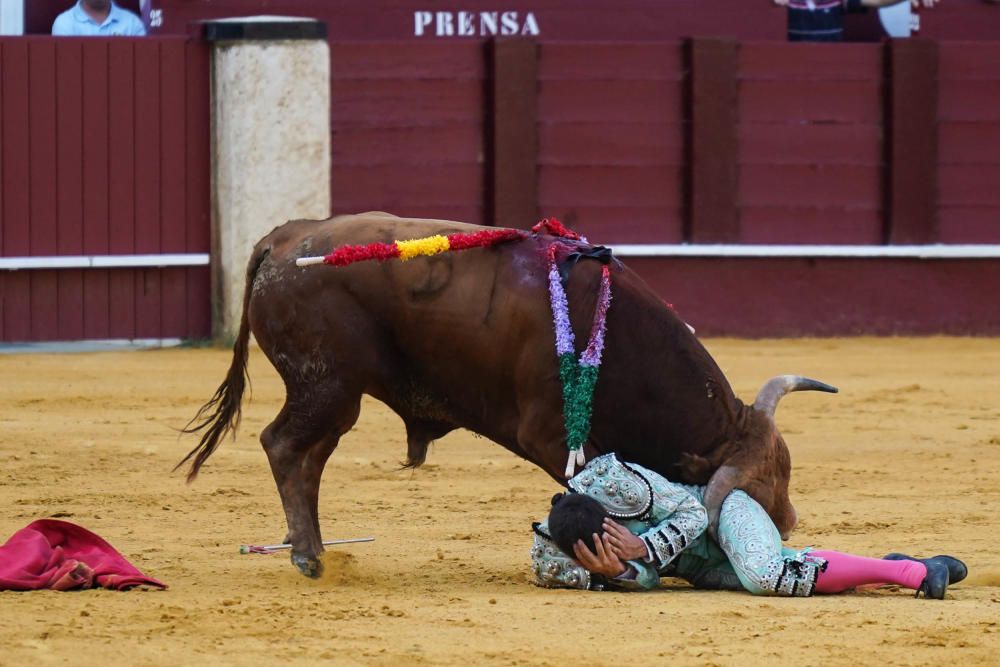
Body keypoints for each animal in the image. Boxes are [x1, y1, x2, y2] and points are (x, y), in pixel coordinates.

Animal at [182, 215, 836, 580]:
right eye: (757, 488)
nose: (789, 522)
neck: (618, 340)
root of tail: (282, 240)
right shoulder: (553, 437)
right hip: (327, 384)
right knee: (285, 447)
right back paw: (307, 558)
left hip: (336, 395)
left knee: (310, 456)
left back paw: (311, 547)